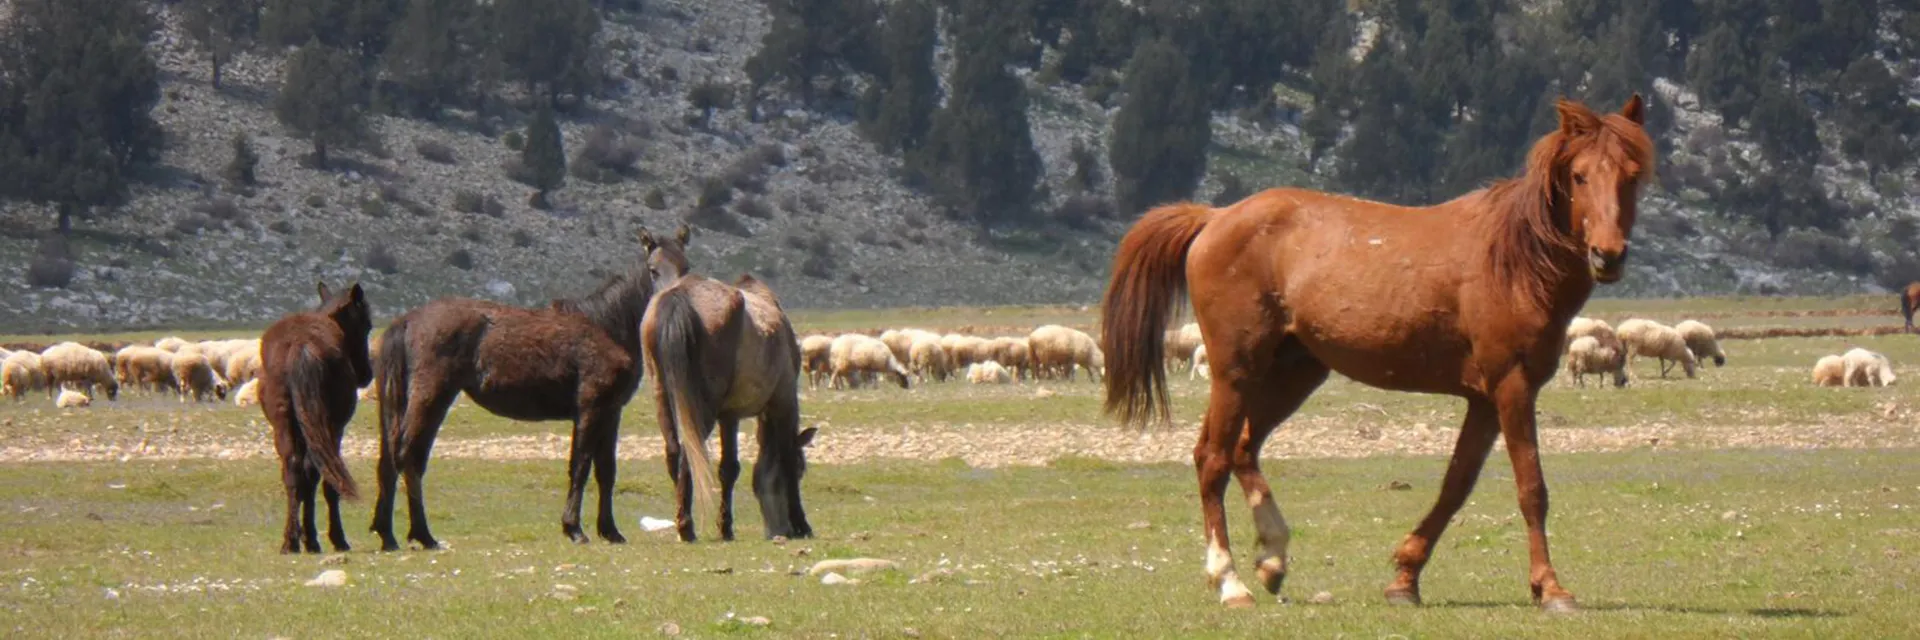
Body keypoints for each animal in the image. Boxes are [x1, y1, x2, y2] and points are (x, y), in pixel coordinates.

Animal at [366, 225, 683, 549]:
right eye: (653, 270)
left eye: (685, 266)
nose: (670, 299)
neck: (607, 327)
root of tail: (407, 320)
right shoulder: (590, 409)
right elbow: (580, 466)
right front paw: (574, 529)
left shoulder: (611, 411)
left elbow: (606, 471)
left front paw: (610, 531)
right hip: (431, 398)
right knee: (409, 456)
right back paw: (423, 535)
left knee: (392, 460)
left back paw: (389, 534)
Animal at [645, 253, 810, 538]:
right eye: (803, 469)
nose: (779, 530)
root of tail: (679, 296)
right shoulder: (784, 401)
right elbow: (787, 456)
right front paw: (801, 522)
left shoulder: (729, 416)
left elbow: (729, 468)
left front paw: (725, 526)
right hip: (703, 407)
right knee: (690, 452)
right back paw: (686, 526)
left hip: (663, 398)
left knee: (674, 451)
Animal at [1105, 93, 1658, 607]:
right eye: (1580, 176)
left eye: (1632, 176)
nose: (1608, 255)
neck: (1515, 262)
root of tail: (1214, 218)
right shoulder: (1512, 386)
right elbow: (1531, 489)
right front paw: (1550, 587)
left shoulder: (1484, 399)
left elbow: (1456, 485)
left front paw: (1405, 578)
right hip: (1235, 372)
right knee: (1213, 458)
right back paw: (1230, 581)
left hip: (1293, 373)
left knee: (1243, 449)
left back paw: (1273, 557)